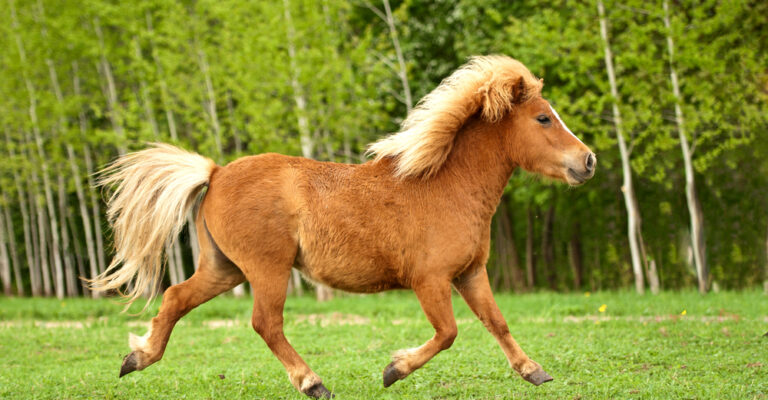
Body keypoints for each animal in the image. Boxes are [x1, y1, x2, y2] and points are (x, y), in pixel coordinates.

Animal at [92, 55, 596, 398]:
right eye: (543, 118)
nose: (588, 161)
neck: (446, 186)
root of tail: (214, 173)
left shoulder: (471, 274)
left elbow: (497, 321)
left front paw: (534, 370)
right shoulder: (430, 280)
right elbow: (448, 333)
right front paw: (394, 369)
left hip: (224, 269)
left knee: (176, 298)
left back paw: (136, 358)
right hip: (267, 270)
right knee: (265, 323)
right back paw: (312, 383)